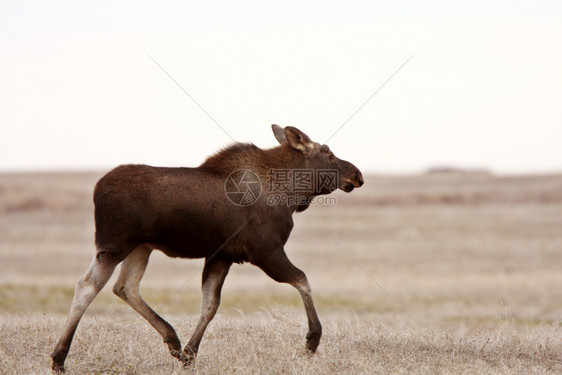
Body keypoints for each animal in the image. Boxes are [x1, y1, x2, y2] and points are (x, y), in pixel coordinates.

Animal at [50, 125, 360, 372]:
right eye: (327, 152)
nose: (357, 175)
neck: (291, 194)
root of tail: (96, 191)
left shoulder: (221, 255)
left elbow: (210, 305)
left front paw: (189, 353)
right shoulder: (265, 251)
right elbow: (303, 280)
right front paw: (312, 339)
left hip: (141, 247)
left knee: (125, 286)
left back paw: (172, 340)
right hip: (115, 245)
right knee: (88, 286)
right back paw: (59, 357)